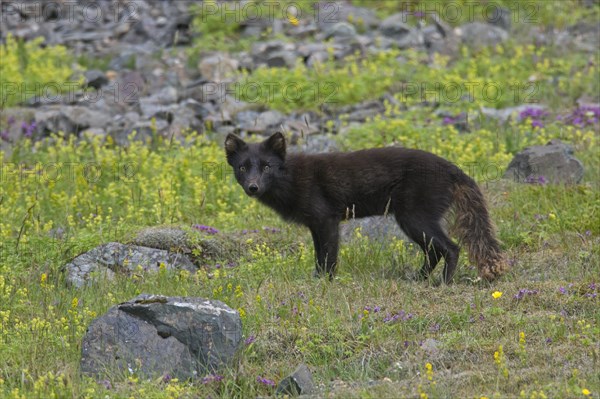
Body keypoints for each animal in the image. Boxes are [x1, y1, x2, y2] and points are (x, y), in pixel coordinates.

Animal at [224, 133, 506, 282]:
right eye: (242, 167)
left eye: (266, 167)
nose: (253, 187)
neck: (290, 178)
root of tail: (452, 168)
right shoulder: (315, 224)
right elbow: (318, 257)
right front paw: (317, 280)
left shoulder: (326, 219)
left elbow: (329, 258)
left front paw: (327, 283)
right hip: (413, 221)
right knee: (435, 251)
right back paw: (419, 279)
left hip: (413, 218)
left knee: (451, 248)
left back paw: (442, 283)